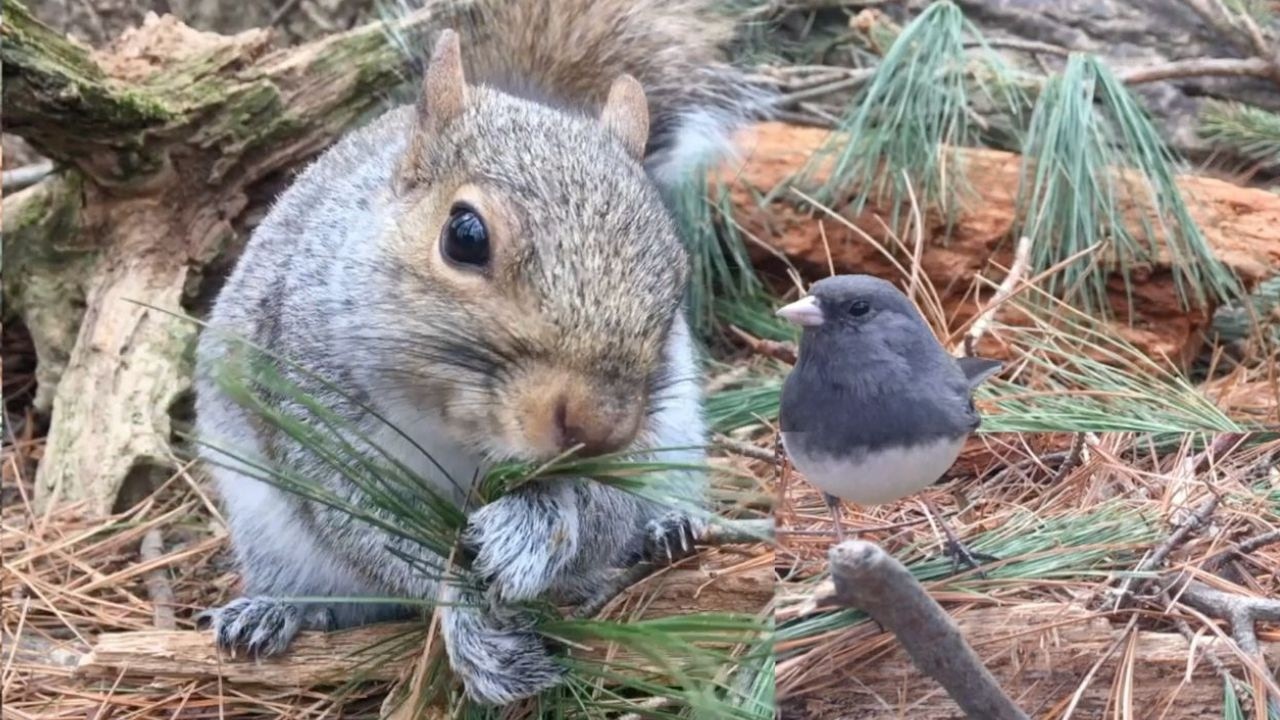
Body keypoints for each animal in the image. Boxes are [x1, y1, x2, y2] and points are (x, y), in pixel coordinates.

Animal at [192, 0, 771, 707]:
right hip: (266, 528)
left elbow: (602, 507)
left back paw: (665, 531)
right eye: (464, 236)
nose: (601, 426)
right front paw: (469, 621)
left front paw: (538, 529)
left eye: (677, 274)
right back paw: (277, 611)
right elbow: (378, 535)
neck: (462, 435)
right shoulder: (314, 423)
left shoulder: (645, 440)